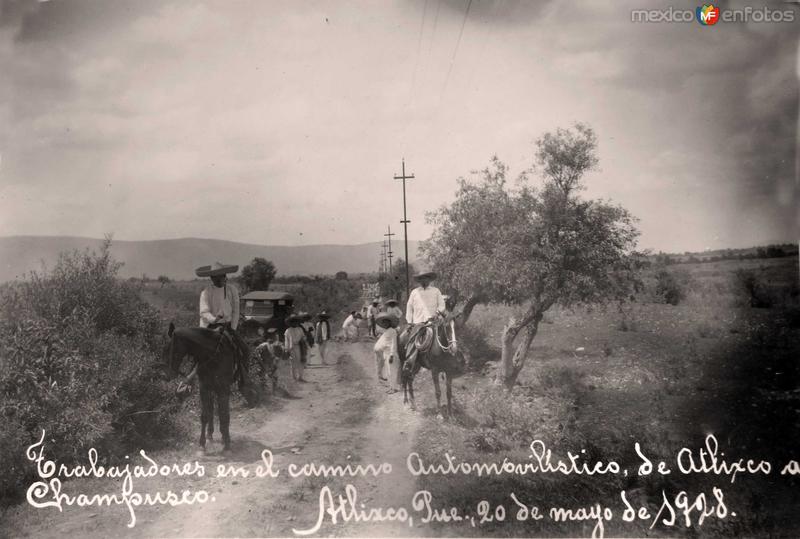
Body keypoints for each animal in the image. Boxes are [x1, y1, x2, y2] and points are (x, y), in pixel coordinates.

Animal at [163, 322, 248, 454]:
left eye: (172, 349)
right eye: (165, 349)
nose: (167, 375)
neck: (213, 355)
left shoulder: (224, 389)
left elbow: (224, 415)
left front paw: (227, 443)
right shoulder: (204, 387)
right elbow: (204, 416)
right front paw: (202, 444)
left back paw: (223, 436)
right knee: (211, 409)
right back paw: (210, 434)